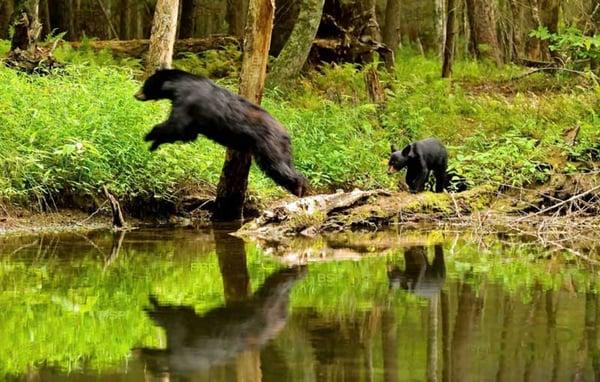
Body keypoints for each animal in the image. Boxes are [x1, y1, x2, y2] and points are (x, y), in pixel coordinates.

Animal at [135, 69, 310, 198]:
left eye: (146, 83)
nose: (135, 94)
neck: (178, 86)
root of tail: (286, 134)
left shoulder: (188, 103)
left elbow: (177, 126)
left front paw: (149, 135)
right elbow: (187, 134)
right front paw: (153, 142)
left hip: (270, 146)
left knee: (279, 167)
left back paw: (299, 189)